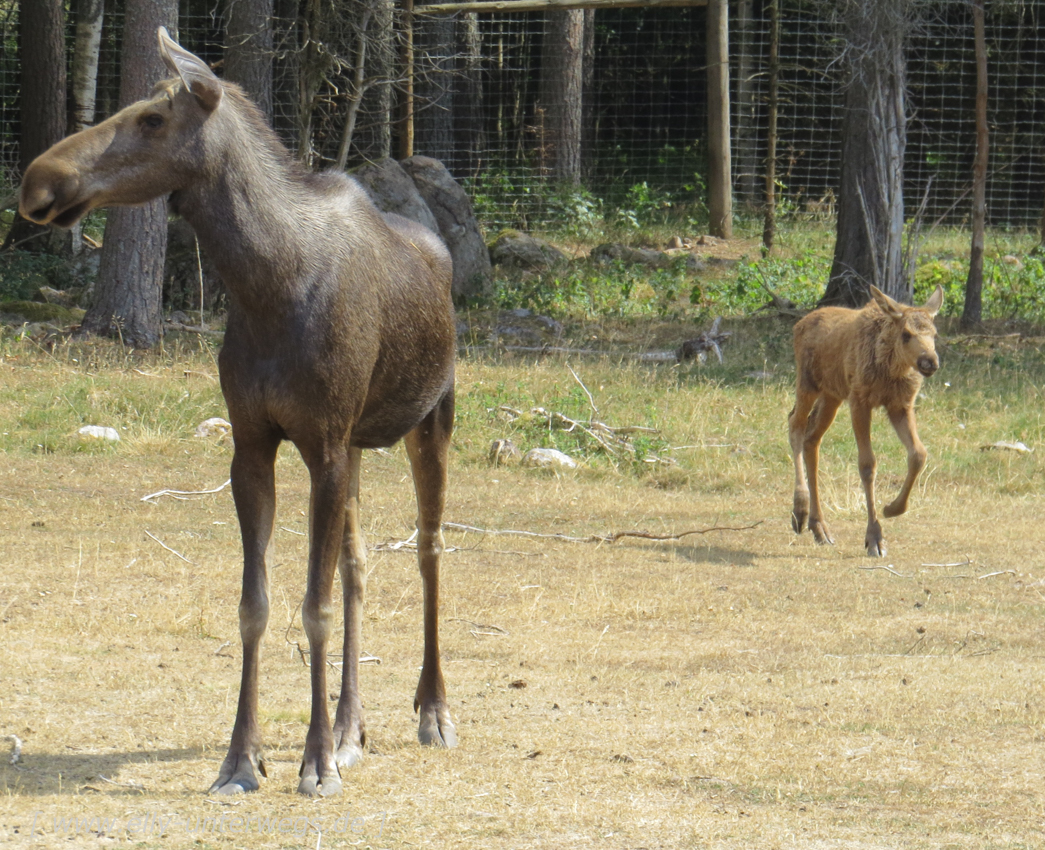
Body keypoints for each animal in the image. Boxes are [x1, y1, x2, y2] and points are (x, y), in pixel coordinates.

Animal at [19, 26, 457, 794]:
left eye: (152, 119)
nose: (38, 181)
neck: (263, 284)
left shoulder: (321, 442)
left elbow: (311, 607)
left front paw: (313, 763)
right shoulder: (256, 442)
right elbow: (257, 604)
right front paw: (242, 758)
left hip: (429, 418)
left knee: (429, 549)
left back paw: (430, 711)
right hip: (356, 445)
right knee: (359, 566)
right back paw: (351, 727)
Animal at [785, 284, 944, 556]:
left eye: (934, 334)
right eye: (906, 334)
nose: (930, 362)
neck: (892, 370)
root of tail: (798, 325)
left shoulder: (900, 405)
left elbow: (918, 454)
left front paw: (892, 508)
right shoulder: (859, 400)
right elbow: (867, 464)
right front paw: (874, 537)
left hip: (831, 395)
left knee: (811, 438)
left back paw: (819, 527)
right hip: (808, 383)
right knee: (794, 424)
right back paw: (800, 510)